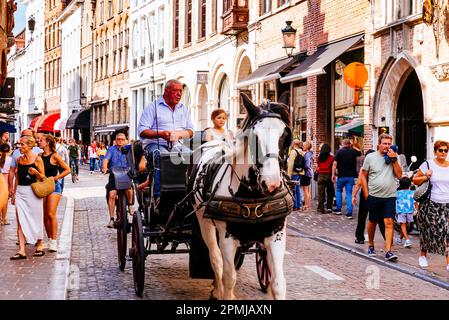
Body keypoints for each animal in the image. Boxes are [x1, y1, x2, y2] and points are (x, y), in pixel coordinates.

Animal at [191, 93, 292, 300]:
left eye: (285, 135)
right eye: (255, 136)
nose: (272, 183)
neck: (253, 196)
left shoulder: (276, 234)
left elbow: (278, 283)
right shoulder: (227, 238)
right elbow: (229, 276)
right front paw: (224, 293)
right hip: (204, 222)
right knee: (216, 259)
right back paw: (217, 291)